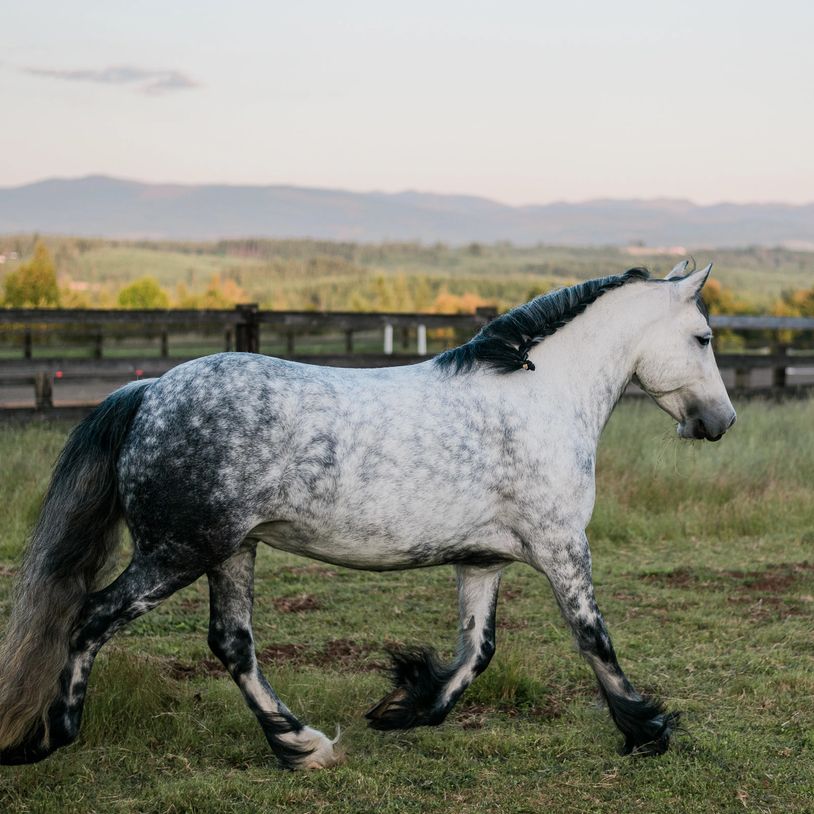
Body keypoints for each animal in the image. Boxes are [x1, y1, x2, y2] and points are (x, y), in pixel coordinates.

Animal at [0, 261, 736, 769]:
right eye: (703, 337)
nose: (720, 421)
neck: (541, 397)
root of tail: (149, 392)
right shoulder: (561, 547)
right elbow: (593, 638)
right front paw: (647, 729)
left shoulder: (483, 561)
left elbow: (477, 653)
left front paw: (405, 706)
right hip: (179, 551)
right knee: (92, 616)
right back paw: (54, 734)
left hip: (231, 551)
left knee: (231, 644)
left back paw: (302, 746)